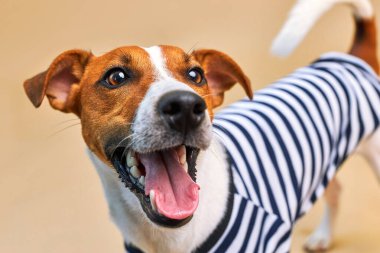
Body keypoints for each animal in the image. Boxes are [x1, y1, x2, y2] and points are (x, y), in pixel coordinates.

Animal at [22, 0, 378, 251]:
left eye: (196, 75)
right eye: (115, 77)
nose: (184, 106)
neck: (167, 236)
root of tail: (350, 58)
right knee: (335, 190)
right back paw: (323, 237)